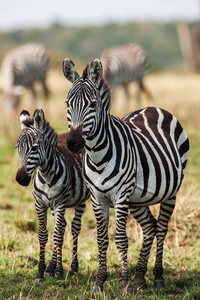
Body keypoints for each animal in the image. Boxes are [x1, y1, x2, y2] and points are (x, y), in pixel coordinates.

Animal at [15, 109, 90, 282]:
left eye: (34, 148)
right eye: (17, 148)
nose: (21, 179)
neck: (46, 174)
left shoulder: (60, 202)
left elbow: (57, 236)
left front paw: (60, 273)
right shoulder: (40, 203)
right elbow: (44, 235)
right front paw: (42, 272)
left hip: (81, 199)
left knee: (74, 227)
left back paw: (73, 267)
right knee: (62, 227)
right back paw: (51, 267)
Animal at [62, 58, 189, 292]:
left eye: (92, 105)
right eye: (67, 104)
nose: (73, 143)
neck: (97, 156)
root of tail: (155, 108)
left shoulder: (120, 196)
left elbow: (121, 239)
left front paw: (125, 285)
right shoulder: (97, 198)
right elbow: (101, 239)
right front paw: (99, 283)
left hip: (170, 192)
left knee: (162, 227)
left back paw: (157, 276)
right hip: (138, 199)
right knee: (149, 227)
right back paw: (140, 277)